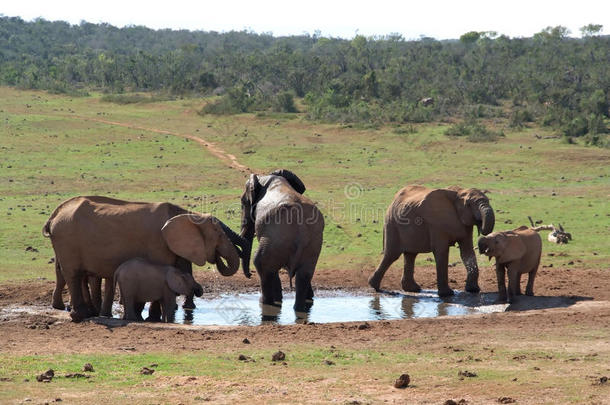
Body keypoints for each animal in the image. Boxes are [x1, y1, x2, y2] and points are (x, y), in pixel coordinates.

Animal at [42, 196, 248, 322]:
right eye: (219, 234)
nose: (218, 258)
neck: (185, 214)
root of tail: (54, 216)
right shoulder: (159, 243)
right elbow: (162, 271)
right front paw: (154, 318)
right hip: (66, 240)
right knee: (72, 274)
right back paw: (81, 315)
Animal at [238, 169, 324, 310]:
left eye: (243, 203)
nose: (249, 275)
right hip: (313, 245)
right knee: (304, 274)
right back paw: (299, 308)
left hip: (276, 238)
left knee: (261, 263)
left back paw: (266, 302)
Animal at [366, 185, 494, 296]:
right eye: (468, 204)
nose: (481, 226)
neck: (459, 192)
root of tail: (393, 199)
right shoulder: (437, 223)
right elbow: (442, 251)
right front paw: (447, 294)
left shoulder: (465, 225)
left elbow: (467, 252)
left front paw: (473, 290)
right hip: (392, 223)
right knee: (392, 255)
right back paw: (374, 286)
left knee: (410, 255)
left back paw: (413, 289)